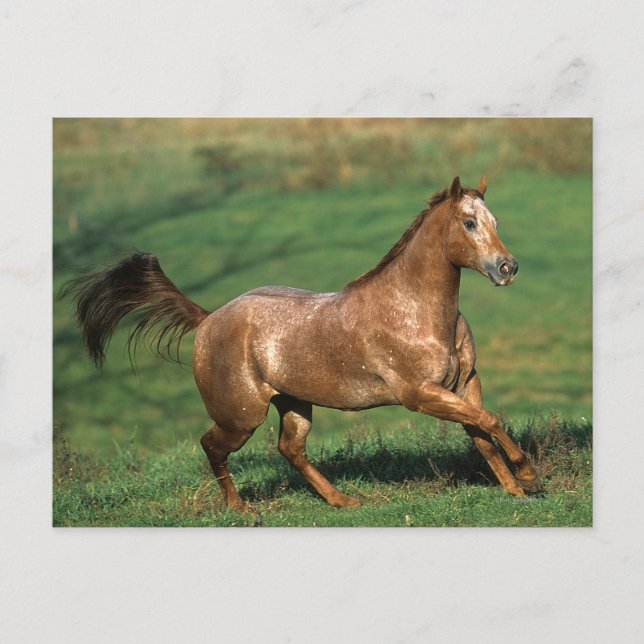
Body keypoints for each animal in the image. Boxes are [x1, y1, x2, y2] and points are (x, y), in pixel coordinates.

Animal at [63, 176, 539, 511]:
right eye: (469, 223)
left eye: (495, 222)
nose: (507, 267)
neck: (415, 309)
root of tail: (209, 318)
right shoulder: (420, 394)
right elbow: (489, 422)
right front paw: (529, 475)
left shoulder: (463, 383)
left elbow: (482, 431)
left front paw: (514, 489)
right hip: (241, 416)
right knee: (212, 445)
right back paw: (240, 510)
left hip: (293, 403)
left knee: (290, 449)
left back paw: (343, 500)